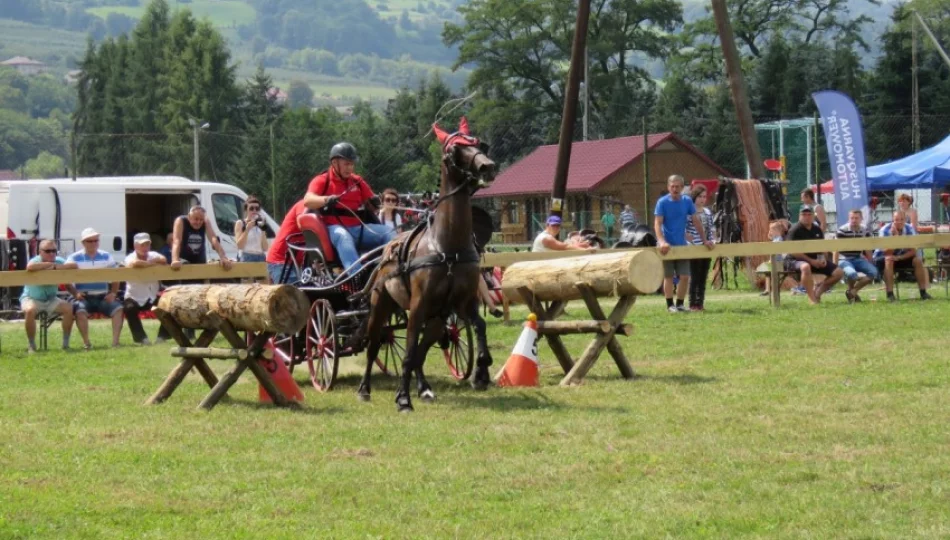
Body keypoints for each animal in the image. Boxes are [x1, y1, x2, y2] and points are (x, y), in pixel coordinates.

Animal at [358, 120, 498, 412]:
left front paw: (481, 371)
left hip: (436, 317)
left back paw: (423, 387)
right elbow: (409, 352)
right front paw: (402, 398)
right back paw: (364, 388)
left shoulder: (463, 302)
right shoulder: (418, 306)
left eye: (480, 144)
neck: (447, 247)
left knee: (422, 349)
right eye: (455, 149)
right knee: (375, 344)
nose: (487, 167)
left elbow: (479, 326)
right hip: (382, 306)